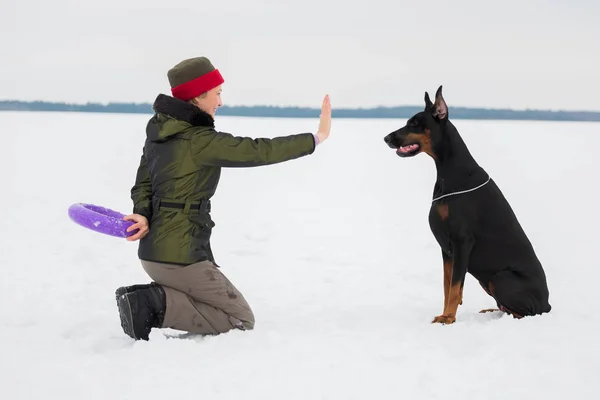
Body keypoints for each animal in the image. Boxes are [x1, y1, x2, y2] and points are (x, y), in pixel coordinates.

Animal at [386, 86, 552, 324]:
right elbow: (447, 286)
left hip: (501, 278)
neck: (448, 172)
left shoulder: (462, 241)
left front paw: (448, 318)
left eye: (414, 123)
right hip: (487, 281)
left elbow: (455, 287)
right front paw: (445, 313)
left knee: (526, 313)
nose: (386, 138)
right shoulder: (447, 250)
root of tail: (547, 303)